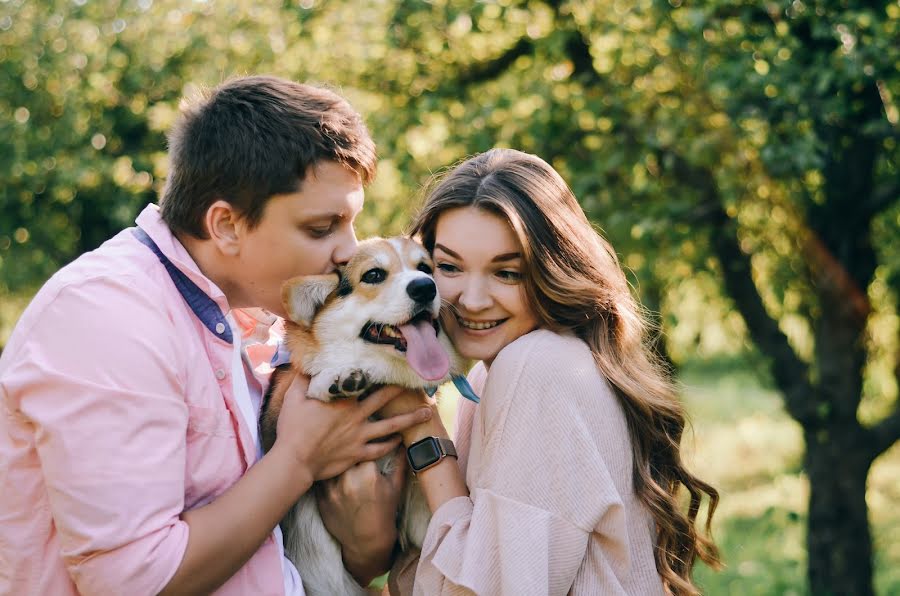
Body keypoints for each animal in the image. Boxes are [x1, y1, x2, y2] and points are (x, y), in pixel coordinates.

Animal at [258, 237, 464, 596]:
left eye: (426, 268)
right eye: (374, 275)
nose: (425, 287)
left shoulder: (418, 517)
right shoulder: (275, 422)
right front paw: (335, 378)